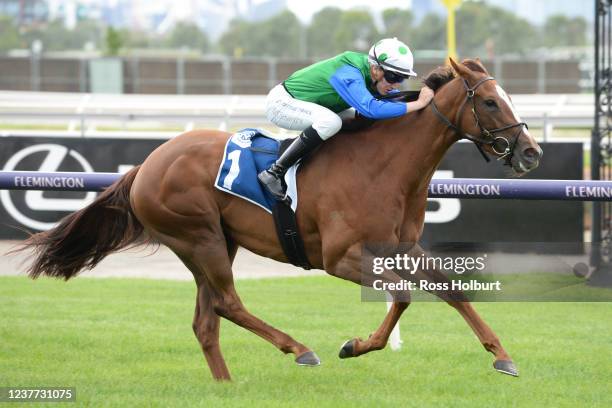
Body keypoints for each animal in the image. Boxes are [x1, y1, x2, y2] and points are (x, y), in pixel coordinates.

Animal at [19, 58, 544, 380]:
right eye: (491, 101)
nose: (531, 153)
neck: (385, 166)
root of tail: (146, 164)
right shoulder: (340, 257)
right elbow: (402, 295)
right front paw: (354, 345)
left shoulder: (402, 247)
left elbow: (451, 291)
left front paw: (503, 357)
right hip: (199, 237)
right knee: (228, 304)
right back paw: (299, 349)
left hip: (214, 243)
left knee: (206, 320)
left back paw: (226, 386)